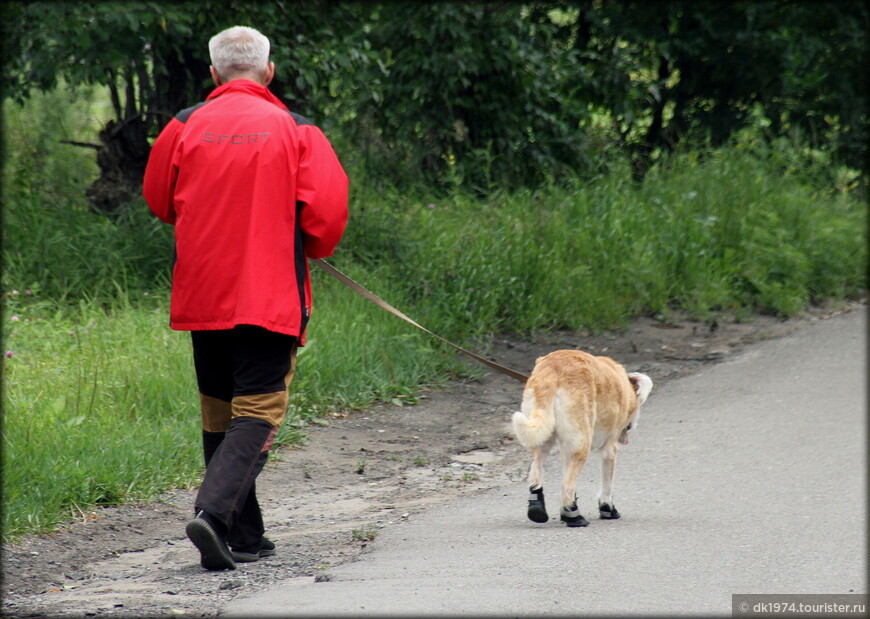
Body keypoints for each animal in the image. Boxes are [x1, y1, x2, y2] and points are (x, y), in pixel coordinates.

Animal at [510, 352, 656, 524]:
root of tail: (553, 367)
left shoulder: (566, 449)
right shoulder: (609, 449)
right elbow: (607, 486)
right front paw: (608, 509)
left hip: (545, 438)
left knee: (537, 474)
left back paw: (538, 509)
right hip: (582, 444)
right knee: (566, 486)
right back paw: (575, 518)